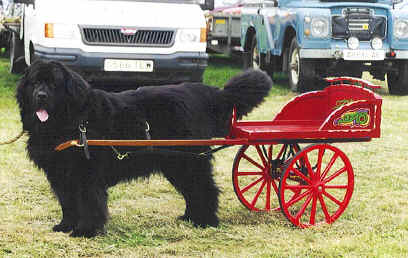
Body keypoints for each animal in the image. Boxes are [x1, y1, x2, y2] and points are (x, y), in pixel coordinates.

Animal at [15, 59, 270, 237]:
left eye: (54, 84)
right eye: (35, 82)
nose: (41, 95)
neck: (72, 119)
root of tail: (210, 93)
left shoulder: (86, 175)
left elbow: (88, 203)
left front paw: (86, 231)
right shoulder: (61, 176)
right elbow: (67, 203)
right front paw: (65, 225)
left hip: (188, 160)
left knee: (204, 188)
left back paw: (204, 221)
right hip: (175, 163)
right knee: (193, 190)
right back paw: (190, 217)